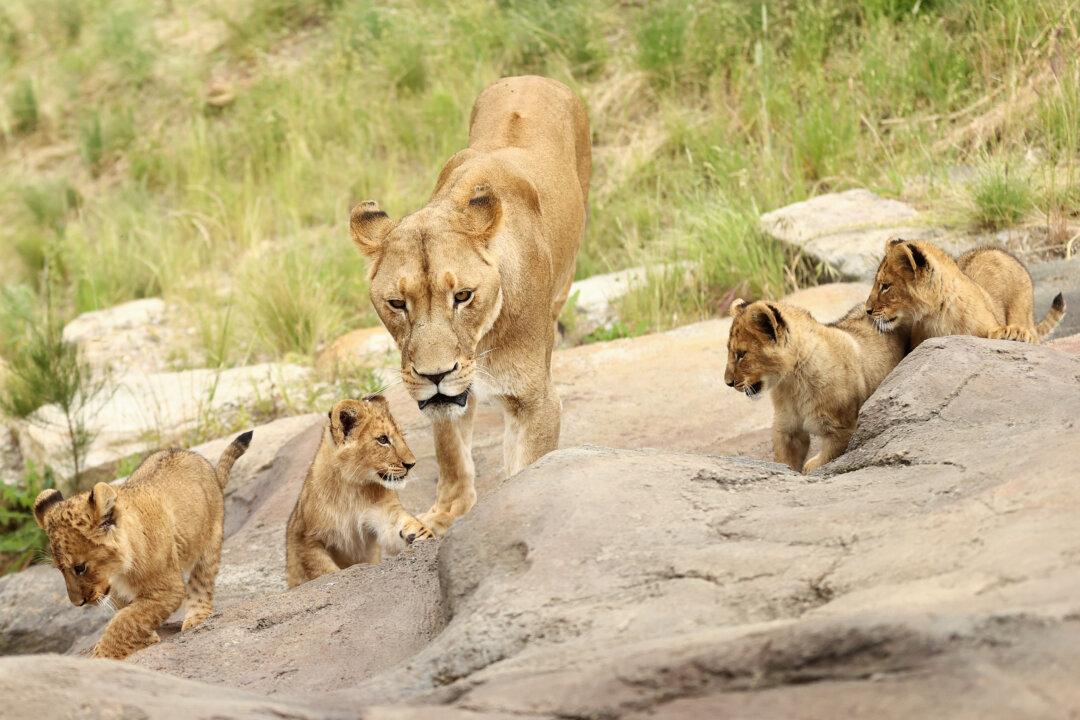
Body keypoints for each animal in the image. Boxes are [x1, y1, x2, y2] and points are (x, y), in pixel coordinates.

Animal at [32, 431, 253, 660]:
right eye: (60, 570)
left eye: (80, 568)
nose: (77, 603)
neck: (118, 571)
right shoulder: (118, 593)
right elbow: (130, 614)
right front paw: (147, 639)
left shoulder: (168, 589)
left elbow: (126, 621)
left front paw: (102, 656)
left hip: (210, 541)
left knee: (202, 581)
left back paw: (196, 617)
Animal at [285, 397, 431, 588]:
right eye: (383, 439)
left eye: (402, 436)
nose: (411, 464)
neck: (351, 488)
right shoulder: (306, 539)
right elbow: (324, 571)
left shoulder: (384, 512)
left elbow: (399, 525)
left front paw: (422, 534)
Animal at [349, 76, 590, 534]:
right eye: (397, 303)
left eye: (462, 296)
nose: (435, 374)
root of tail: (530, 76)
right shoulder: (439, 400)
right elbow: (451, 453)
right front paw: (441, 517)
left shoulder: (537, 402)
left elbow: (527, 468)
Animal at [724, 300, 907, 473]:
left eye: (741, 354)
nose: (728, 383)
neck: (792, 383)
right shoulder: (787, 427)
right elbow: (785, 459)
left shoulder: (843, 428)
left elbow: (824, 459)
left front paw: (809, 467)